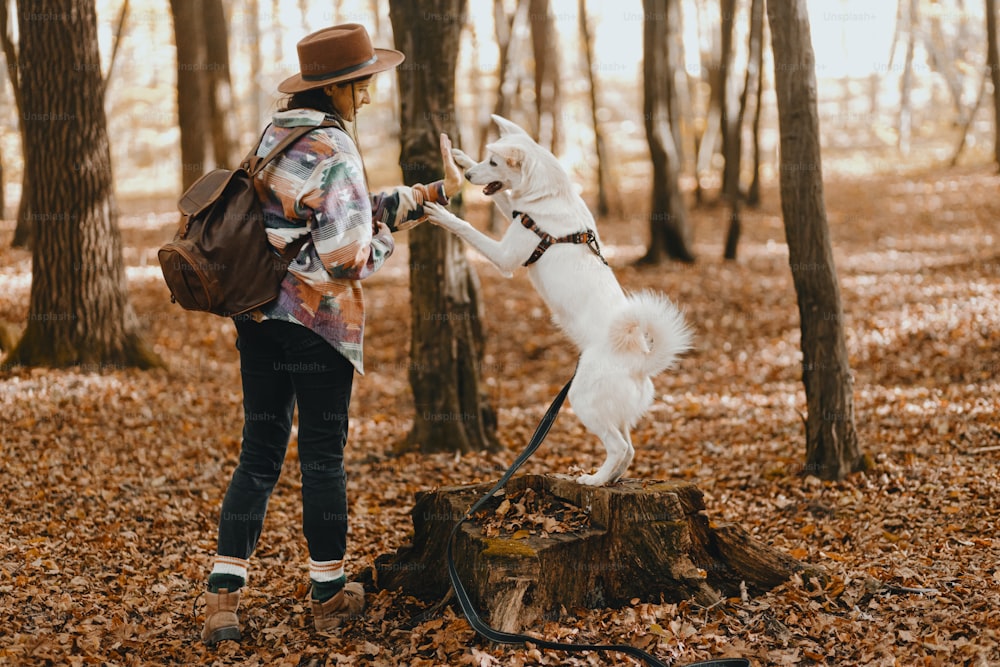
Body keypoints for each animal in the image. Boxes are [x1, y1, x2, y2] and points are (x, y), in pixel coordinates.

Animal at [424, 115, 696, 486]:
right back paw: (609, 480)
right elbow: (504, 199)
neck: (549, 195)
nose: (466, 177)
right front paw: (461, 157)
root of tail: (641, 362)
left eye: (493, 163)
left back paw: (593, 480)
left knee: (618, 448)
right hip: (612, 411)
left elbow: (468, 228)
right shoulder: (516, 213)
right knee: (629, 449)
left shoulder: (505, 258)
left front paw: (443, 215)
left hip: (583, 401)